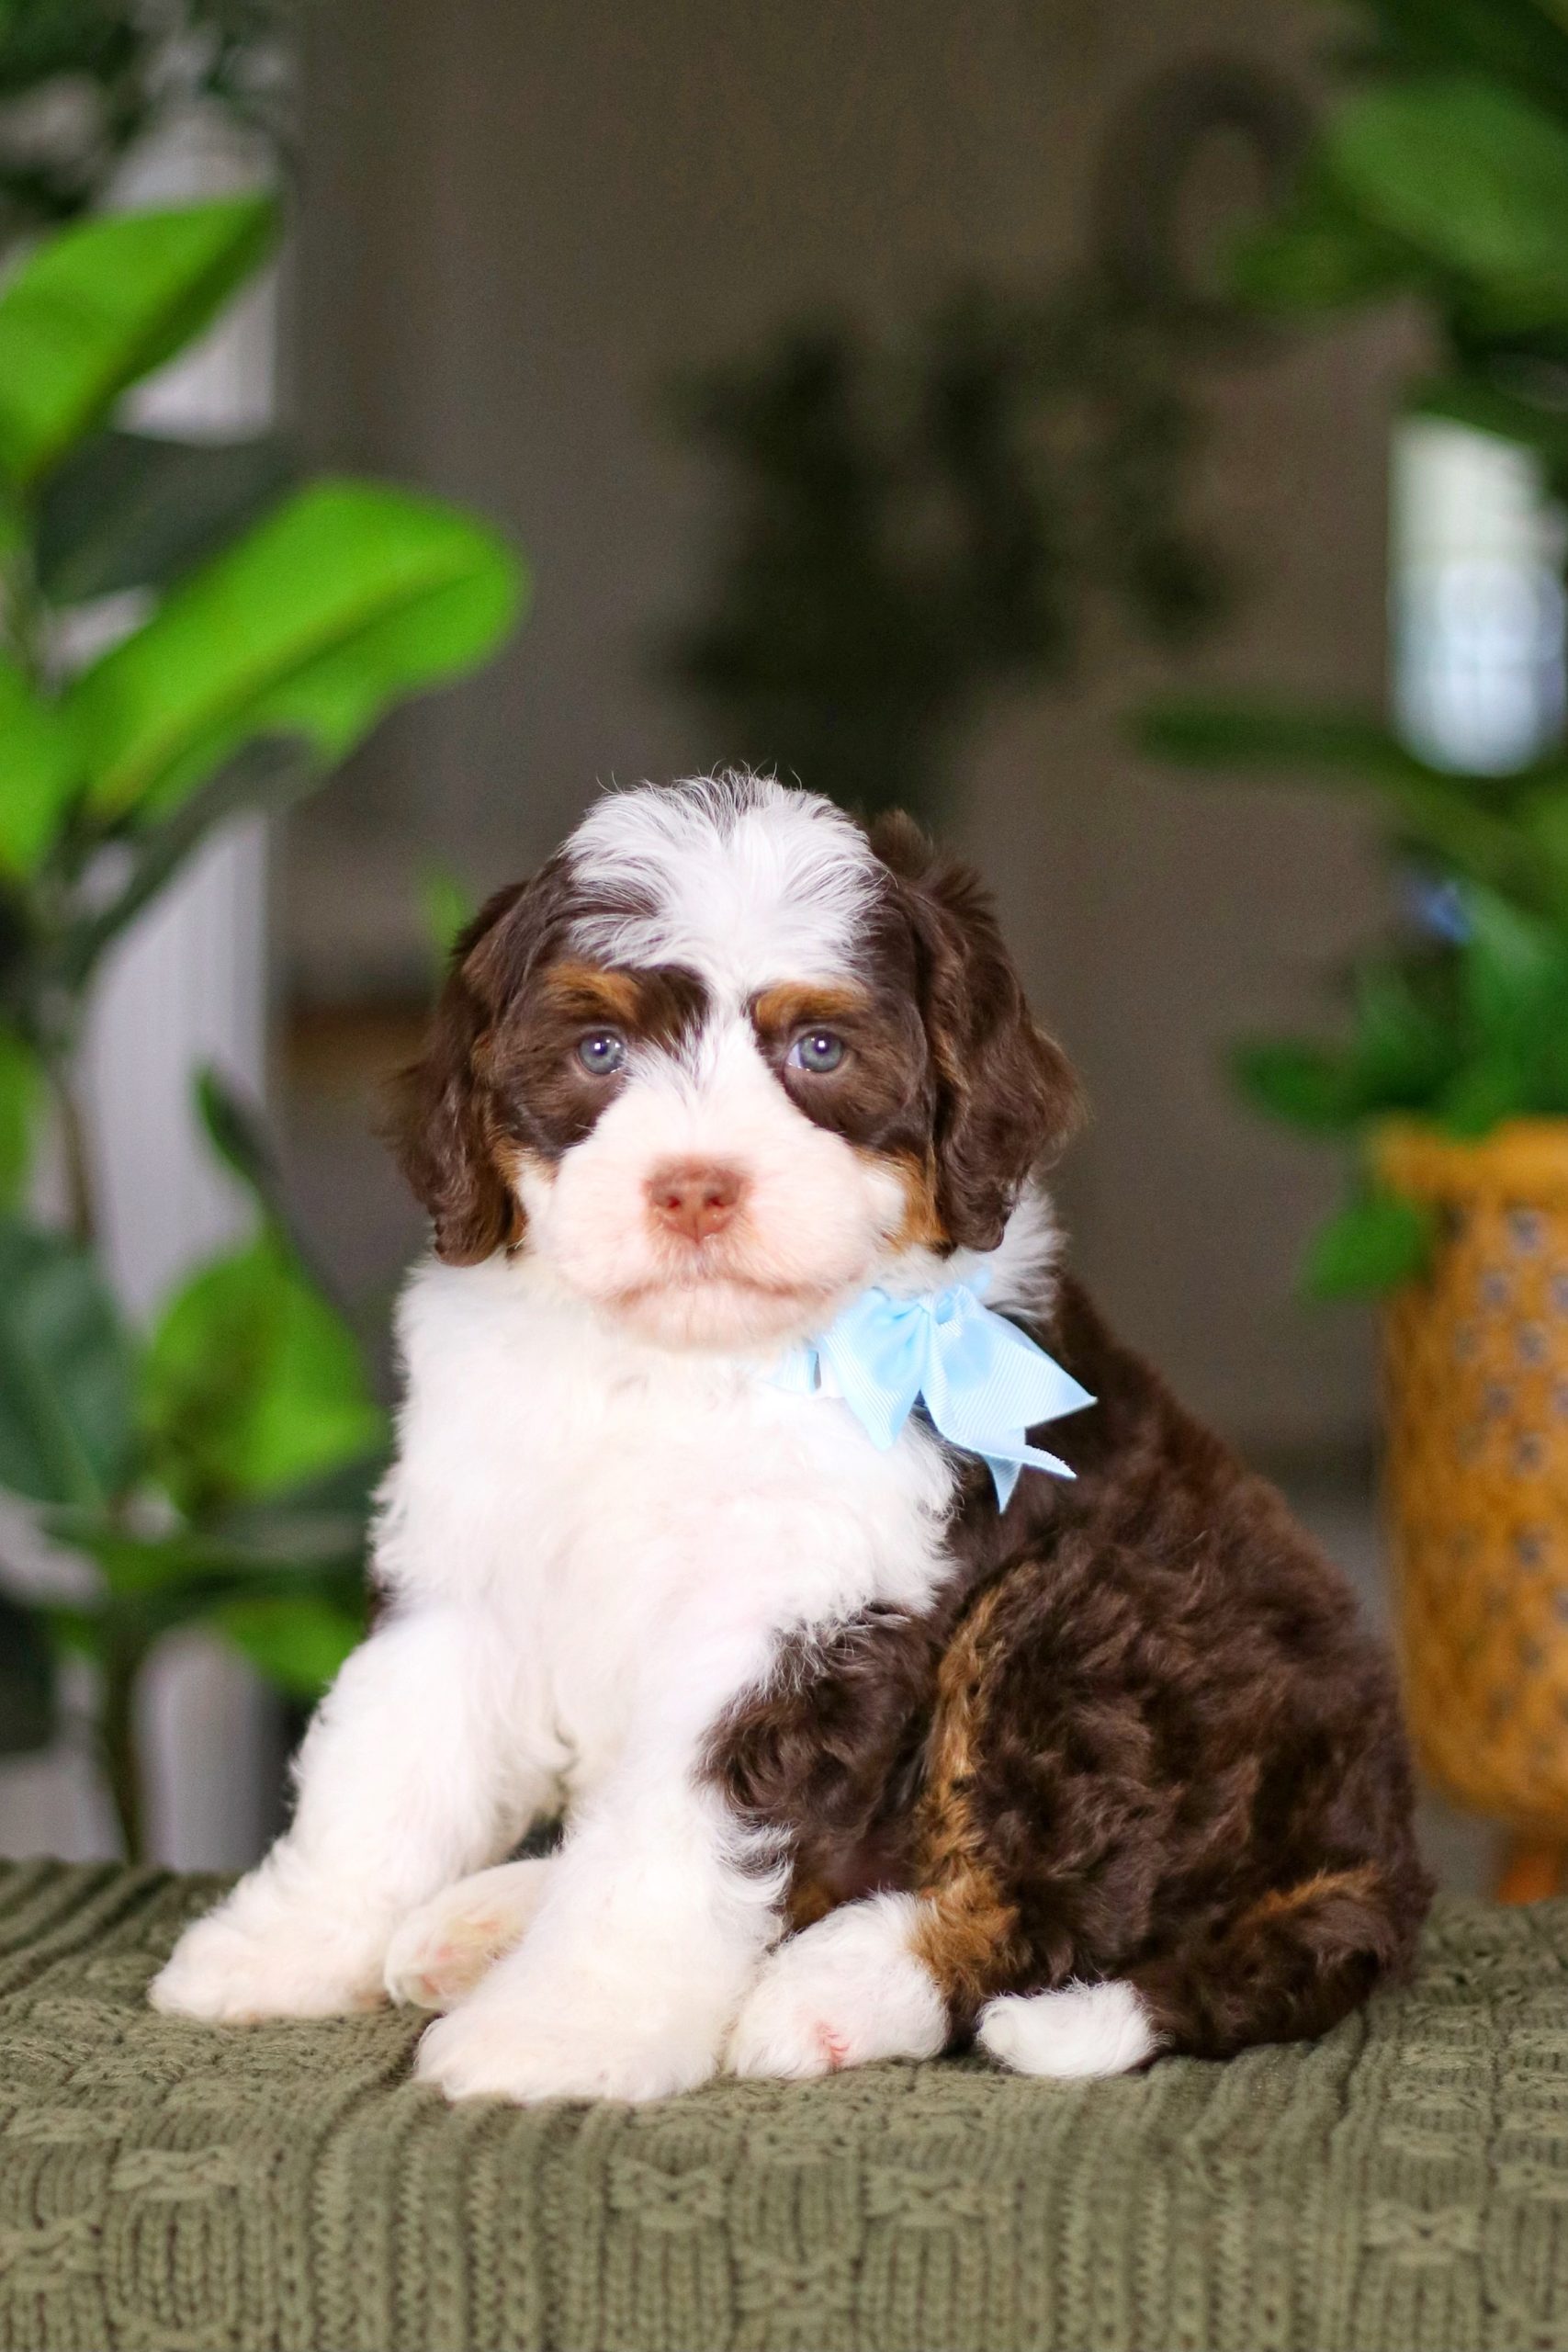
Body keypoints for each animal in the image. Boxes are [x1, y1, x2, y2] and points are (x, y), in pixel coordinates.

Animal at [151, 773, 1432, 2101]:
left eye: (818, 1049)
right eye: (599, 1050)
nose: (695, 1185)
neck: (681, 1365)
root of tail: (1387, 1848)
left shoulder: (792, 1618)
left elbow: (672, 1846)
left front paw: (562, 2029)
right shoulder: (472, 1564)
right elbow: (384, 1767)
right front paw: (289, 1947)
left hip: (1100, 1614)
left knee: (1040, 1895)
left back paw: (833, 1992)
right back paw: (492, 1919)